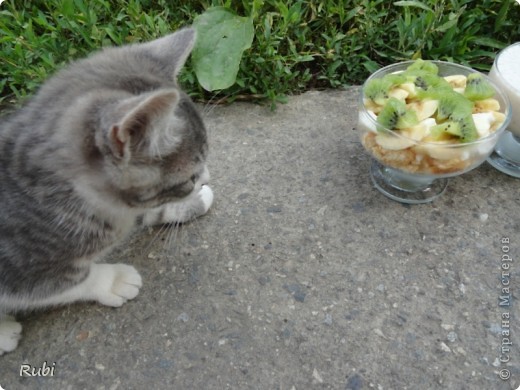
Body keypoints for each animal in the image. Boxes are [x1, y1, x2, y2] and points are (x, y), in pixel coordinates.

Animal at [0, 29, 213, 354]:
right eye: (188, 178)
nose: (203, 177)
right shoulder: (22, 272)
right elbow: (68, 281)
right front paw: (113, 280)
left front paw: (192, 202)